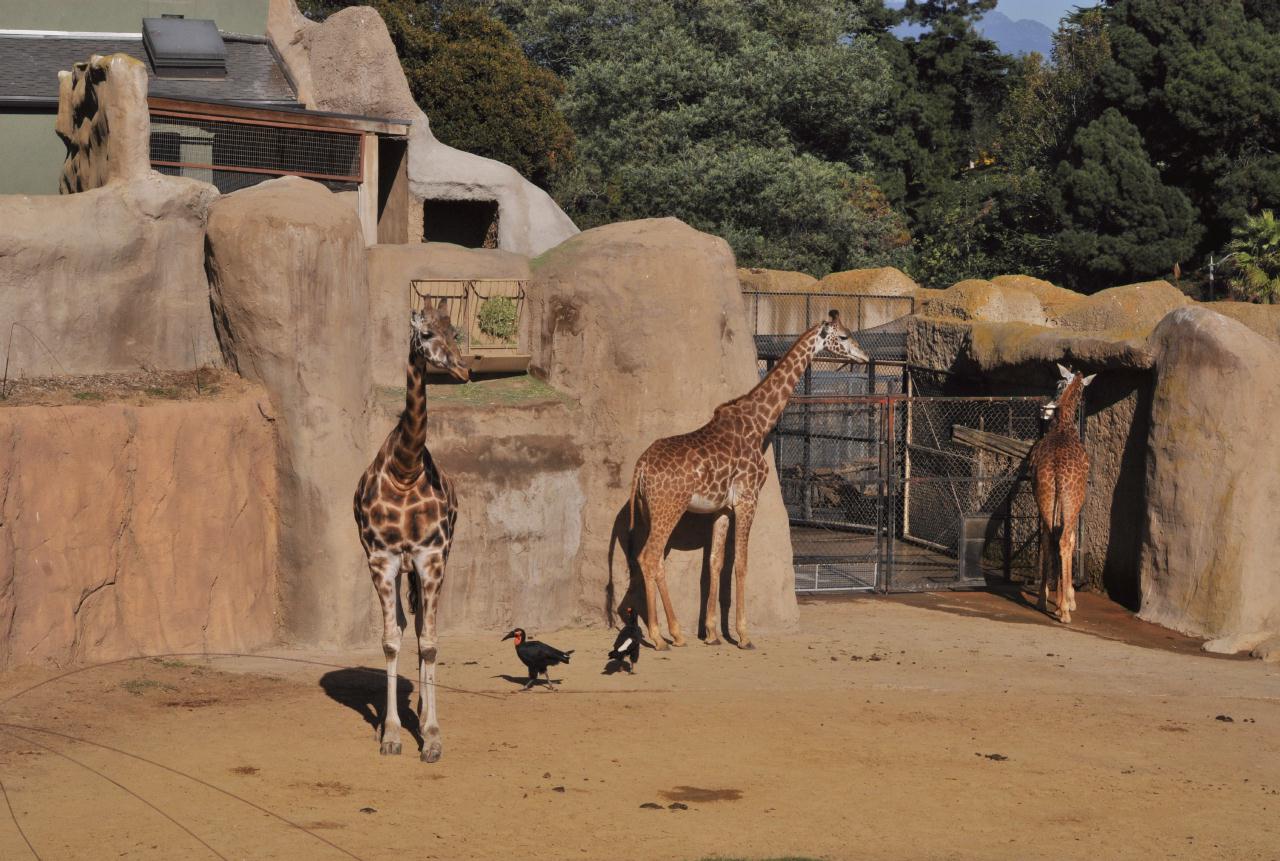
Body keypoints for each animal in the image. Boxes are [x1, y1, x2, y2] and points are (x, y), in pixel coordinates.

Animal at [627, 309, 870, 644]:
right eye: (844, 336)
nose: (866, 356)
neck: (759, 424)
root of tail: (640, 467)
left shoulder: (722, 508)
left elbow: (715, 564)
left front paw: (712, 633)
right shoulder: (748, 499)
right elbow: (741, 564)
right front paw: (743, 635)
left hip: (650, 511)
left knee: (648, 559)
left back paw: (667, 632)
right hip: (669, 507)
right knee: (650, 558)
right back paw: (663, 635)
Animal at [1024, 358, 1095, 621]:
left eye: (1056, 383)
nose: (1044, 410)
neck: (1063, 425)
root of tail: (1056, 469)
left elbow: (1048, 540)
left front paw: (1051, 596)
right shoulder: (1078, 504)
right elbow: (1073, 540)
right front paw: (1069, 599)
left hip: (1044, 496)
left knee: (1047, 539)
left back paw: (1043, 601)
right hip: (1071, 500)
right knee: (1064, 540)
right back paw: (1064, 610)